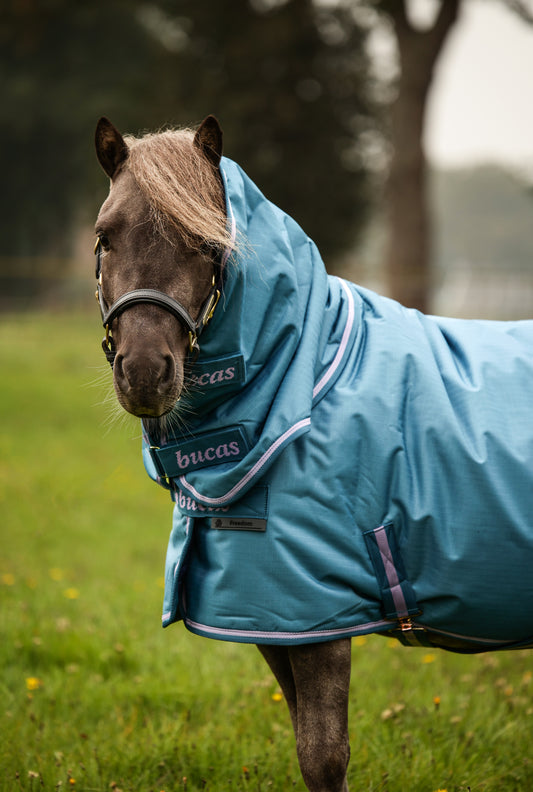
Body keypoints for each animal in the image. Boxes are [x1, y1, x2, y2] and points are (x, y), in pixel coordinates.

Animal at [94, 115, 533, 792]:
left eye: (206, 243)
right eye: (105, 238)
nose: (144, 372)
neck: (302, 385)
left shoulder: (317, 617)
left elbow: (323, 756)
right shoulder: (271, 618)